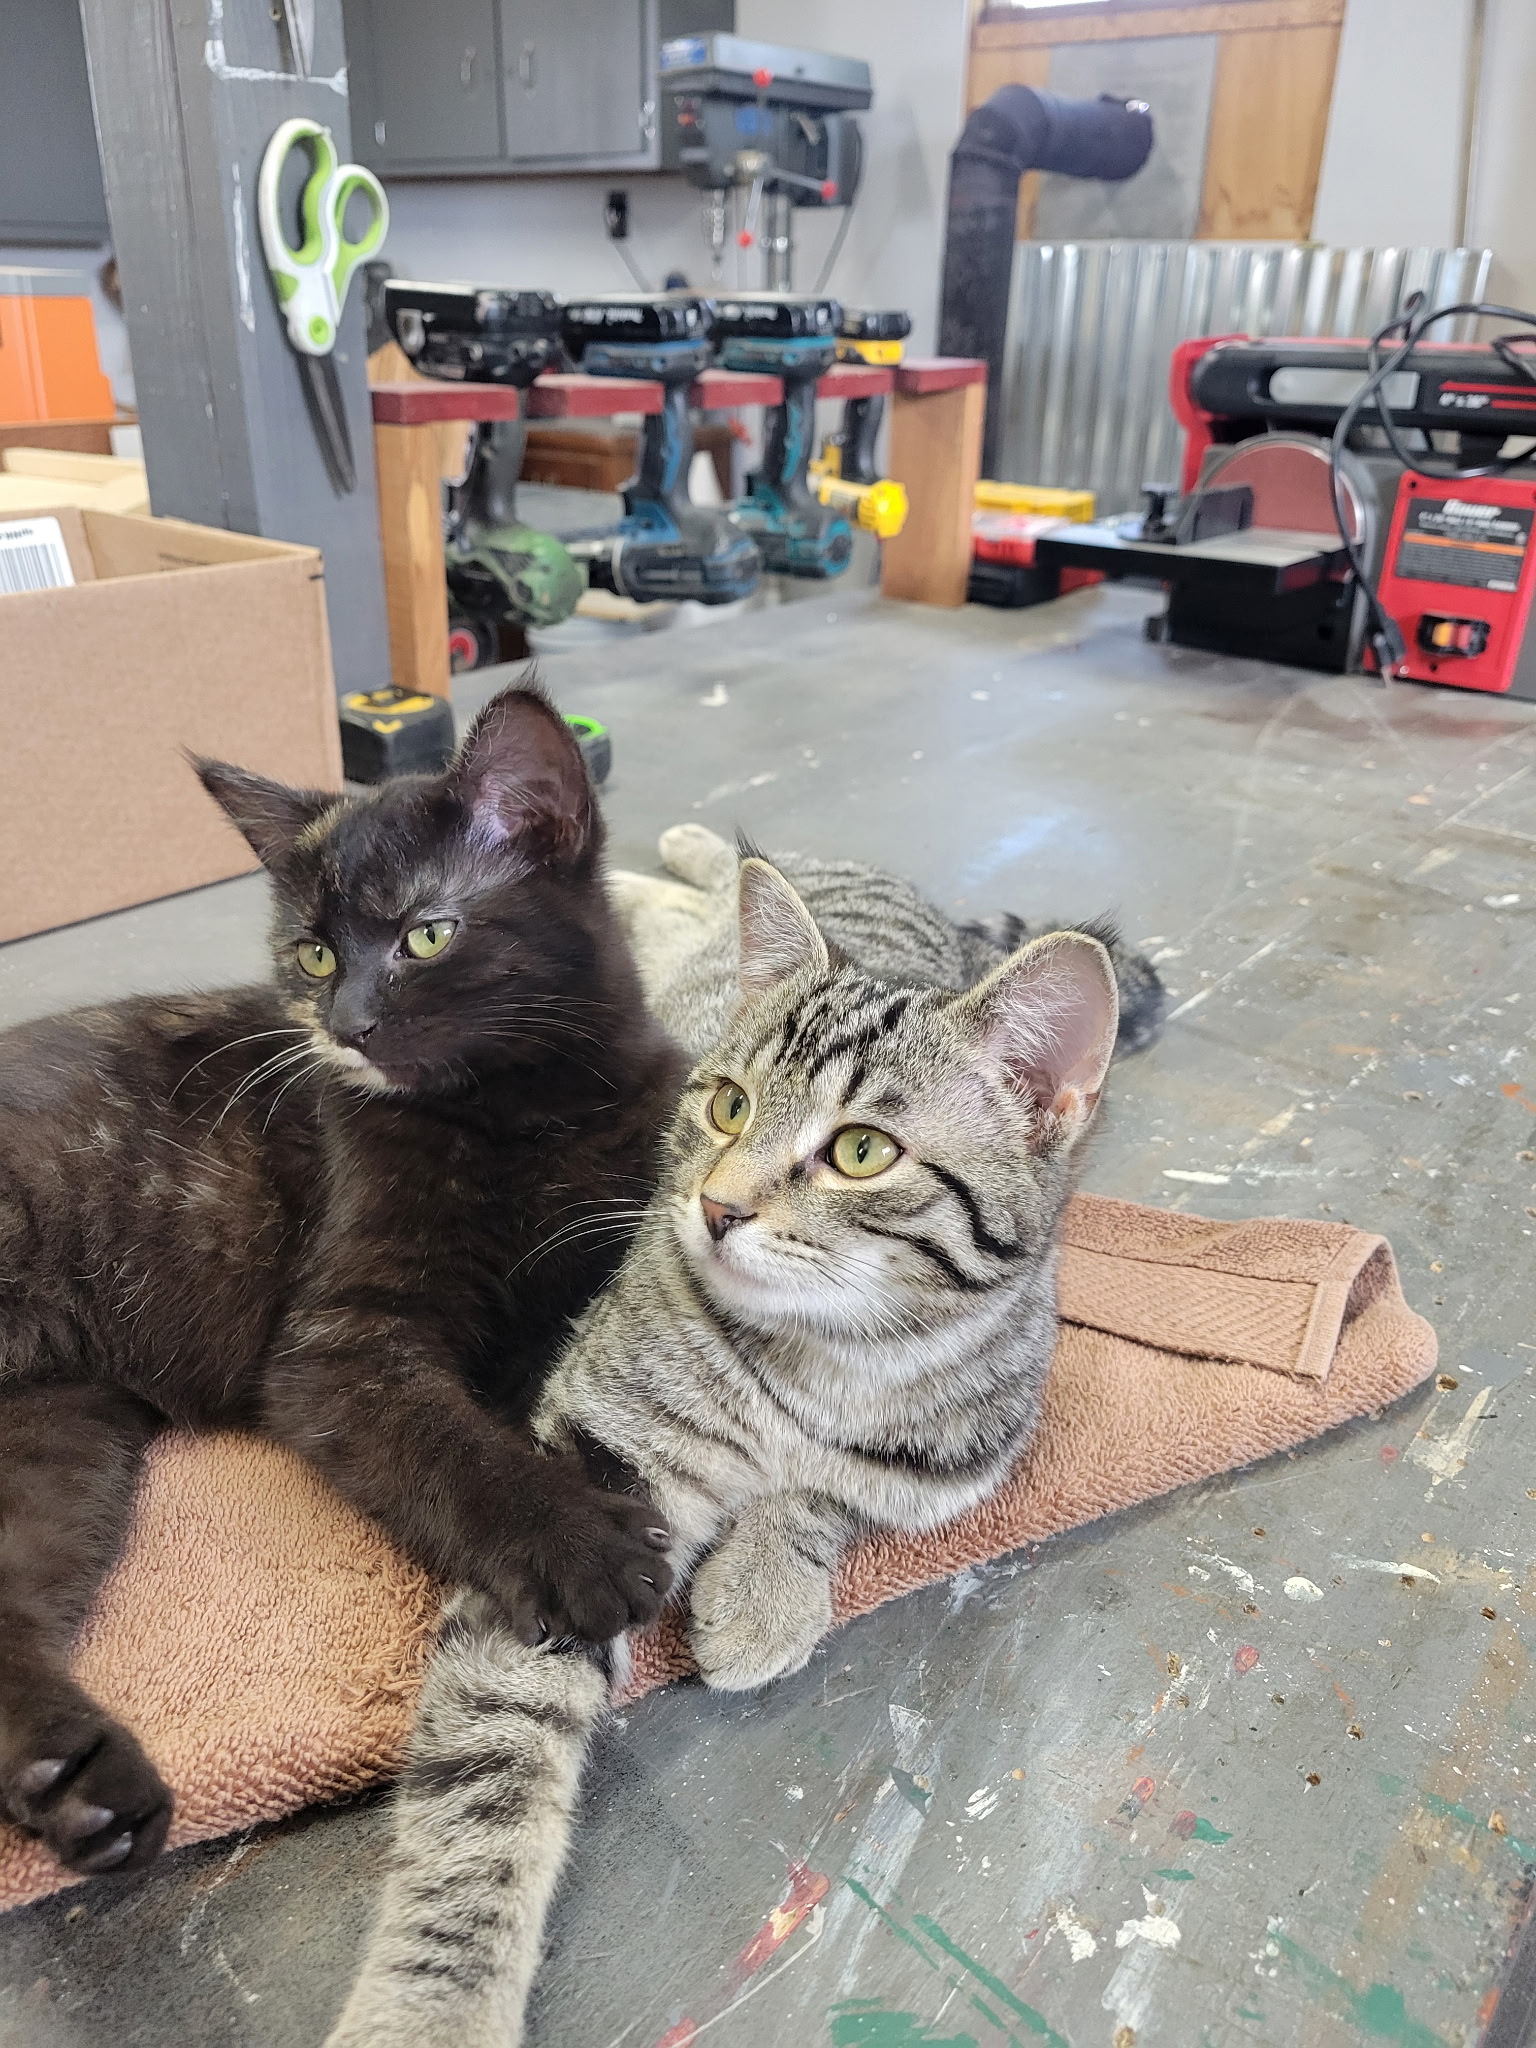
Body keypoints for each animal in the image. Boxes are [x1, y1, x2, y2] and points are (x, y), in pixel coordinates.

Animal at [0, 686, 683, 1882]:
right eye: (314, 956)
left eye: (427, 934)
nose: (347, 1025)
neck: (517, 1117)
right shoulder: (341, 1343)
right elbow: (454, 1446)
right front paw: (582, 1541)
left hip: (53, 1436)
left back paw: (80, 1787)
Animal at [325, 852, 1126, 2048]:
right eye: (727, 1104)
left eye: (860, 1151)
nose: (713, 1203)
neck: (814, 1361)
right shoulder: (587, 1490)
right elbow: (489, 1781)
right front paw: (429, 2004)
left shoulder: (954, 1462)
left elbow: (831, 1494)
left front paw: (765, 1585)